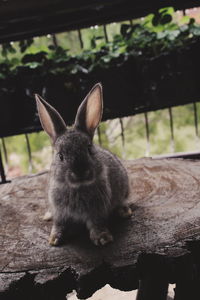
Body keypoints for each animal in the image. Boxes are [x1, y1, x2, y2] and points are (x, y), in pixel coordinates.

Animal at [35, 82, 133, 246]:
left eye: (89, 149)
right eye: (60, 156)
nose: (80, 172)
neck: (78, 187)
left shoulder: (97, 211)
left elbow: (97, 223)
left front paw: (103, 238)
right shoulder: (60, 213)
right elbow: (59, 224)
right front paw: (54, 239)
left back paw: (124, 211)